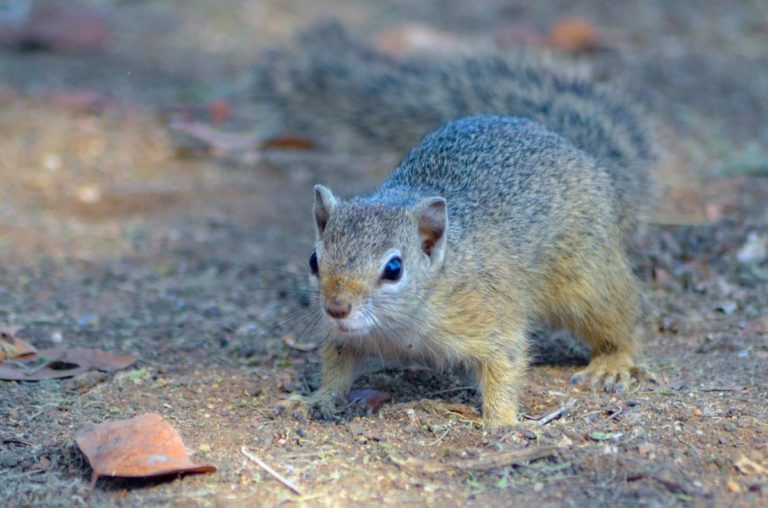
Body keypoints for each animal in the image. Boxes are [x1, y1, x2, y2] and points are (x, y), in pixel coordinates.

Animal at [260, 24, 656, 428]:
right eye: (313, 260)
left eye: (394, 268)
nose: (337, 308)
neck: (398, 323)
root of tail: (587, 159)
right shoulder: (347, 338)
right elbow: (337, 368)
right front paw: (315, 399)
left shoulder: (488, 312)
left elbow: (504, 363)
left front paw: (502, 423)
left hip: (589, 277)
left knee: (621, 320)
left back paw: (611, 363)